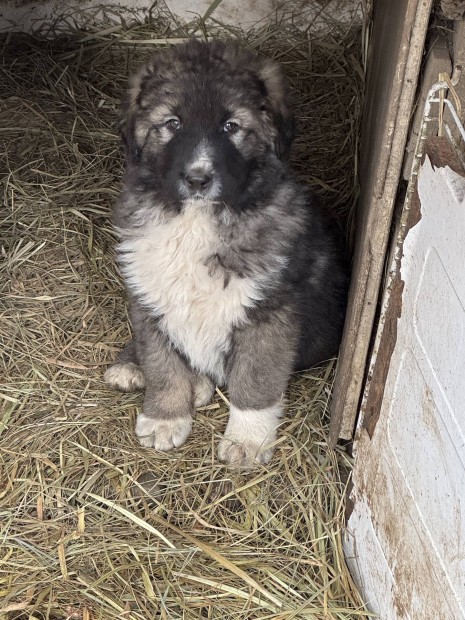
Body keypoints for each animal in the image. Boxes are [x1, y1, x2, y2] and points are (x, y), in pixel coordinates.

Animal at [103, 41, 346, 468]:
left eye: (231, 126)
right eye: (172, 124)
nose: (197, 179)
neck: (197, 219)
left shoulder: (270, 312)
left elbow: (255, 379)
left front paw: (247, 439)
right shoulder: (148, 289)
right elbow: (162, 363)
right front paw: (165, 416)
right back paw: (131, 366)